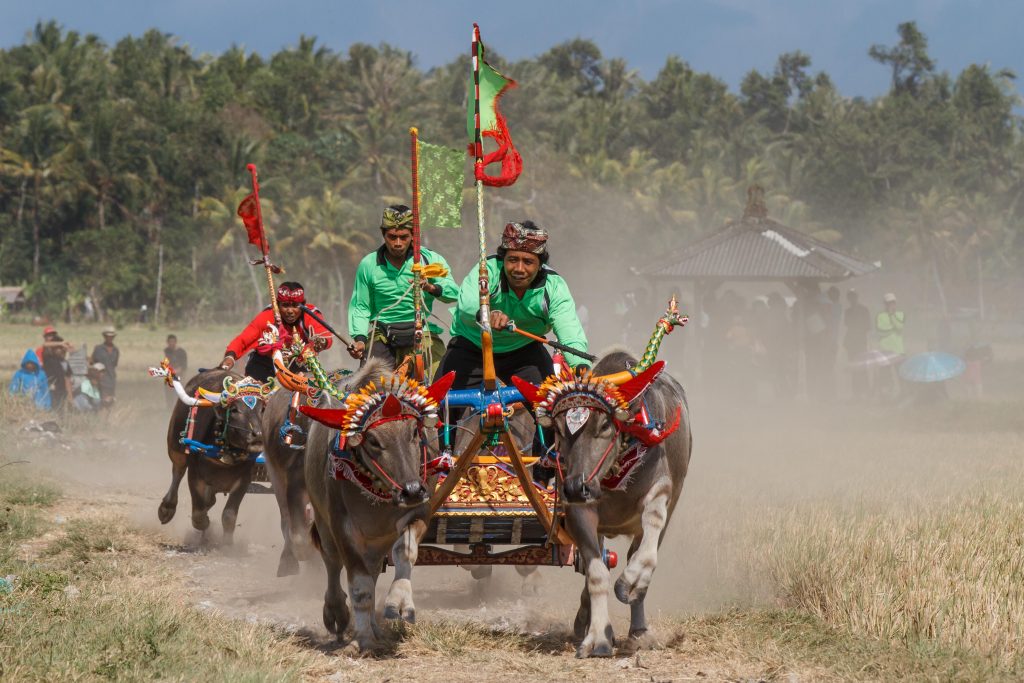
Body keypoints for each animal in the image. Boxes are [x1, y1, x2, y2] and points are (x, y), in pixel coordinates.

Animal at [157, 368, 270, 544]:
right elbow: (198, 512)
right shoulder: (195, 475)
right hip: (175, 446)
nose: (257, 435)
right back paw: (166, 509)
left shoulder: (244, 479)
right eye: (235, 409)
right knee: (177, 472)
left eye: (262, 410)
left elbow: (229, 515)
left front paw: (227, 545)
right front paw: (204, 525)